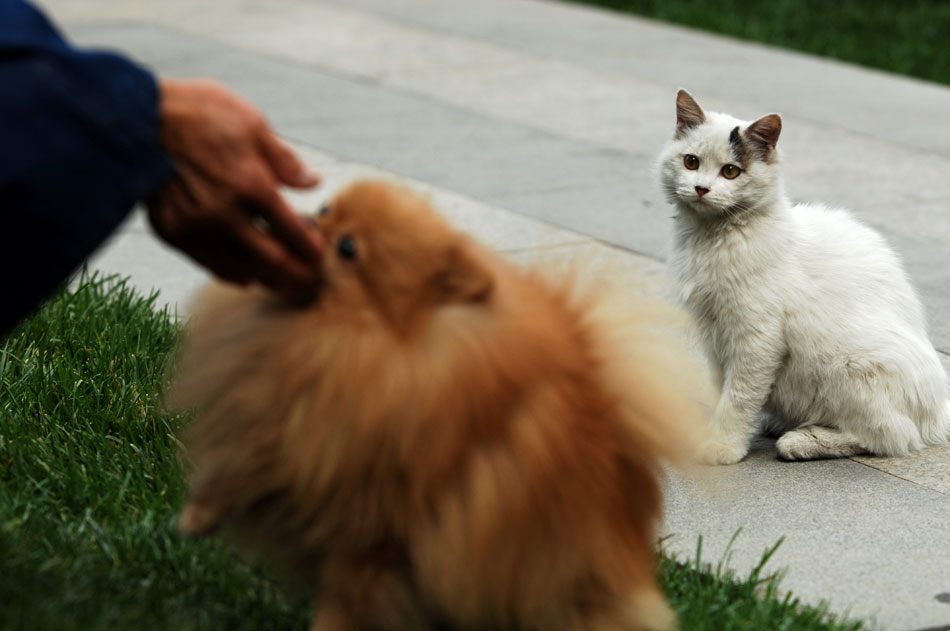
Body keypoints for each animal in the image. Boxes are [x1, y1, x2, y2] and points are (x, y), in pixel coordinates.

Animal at [171, 179, 712, 631]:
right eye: (326, 209)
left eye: (348, 249)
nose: (305, 221)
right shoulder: (278, 428)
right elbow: (233, 471)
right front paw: (193, 519)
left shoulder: (371, 530)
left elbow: (344, 602)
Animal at [660, 89, 950, 464]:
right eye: (691, 162)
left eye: (731, 171)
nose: (700, 188)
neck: (711, 238)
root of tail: (939, 410)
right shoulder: (714, 337)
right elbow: (722, 388)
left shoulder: (756, 338)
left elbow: (738, 397)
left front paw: (723, 445)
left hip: (851, 366)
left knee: (889, 436)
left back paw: (802, 440)